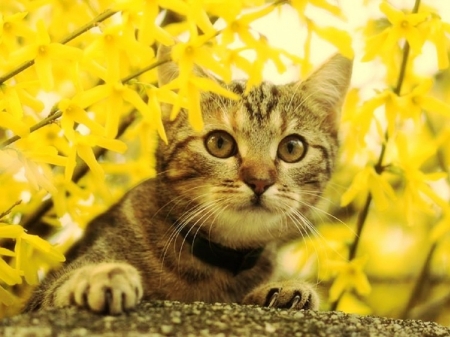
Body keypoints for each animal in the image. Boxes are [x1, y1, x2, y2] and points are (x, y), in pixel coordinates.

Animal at [22, 45, 352, 316]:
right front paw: (98, 276)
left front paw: (284, 290)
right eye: (219, 143)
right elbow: (55, 292)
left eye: (292, 148)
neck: (215, 262)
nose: (259, 181)